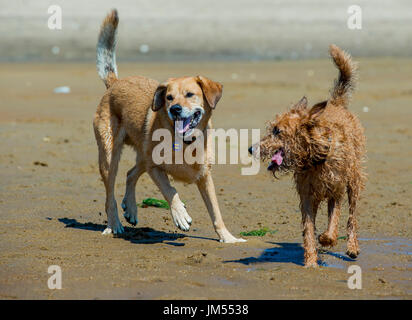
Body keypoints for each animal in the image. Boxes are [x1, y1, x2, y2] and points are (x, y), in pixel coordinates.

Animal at [251, 44, 366, 264]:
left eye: (277, 131)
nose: (251, 148)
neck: (315, 159)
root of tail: (335, 103)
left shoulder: (336, 190)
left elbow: (334, 221)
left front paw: (327, 239)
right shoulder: (307, 196)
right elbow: (308, 229)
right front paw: (311, 260)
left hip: (354, 179)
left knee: (352, 216)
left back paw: (352, 246)